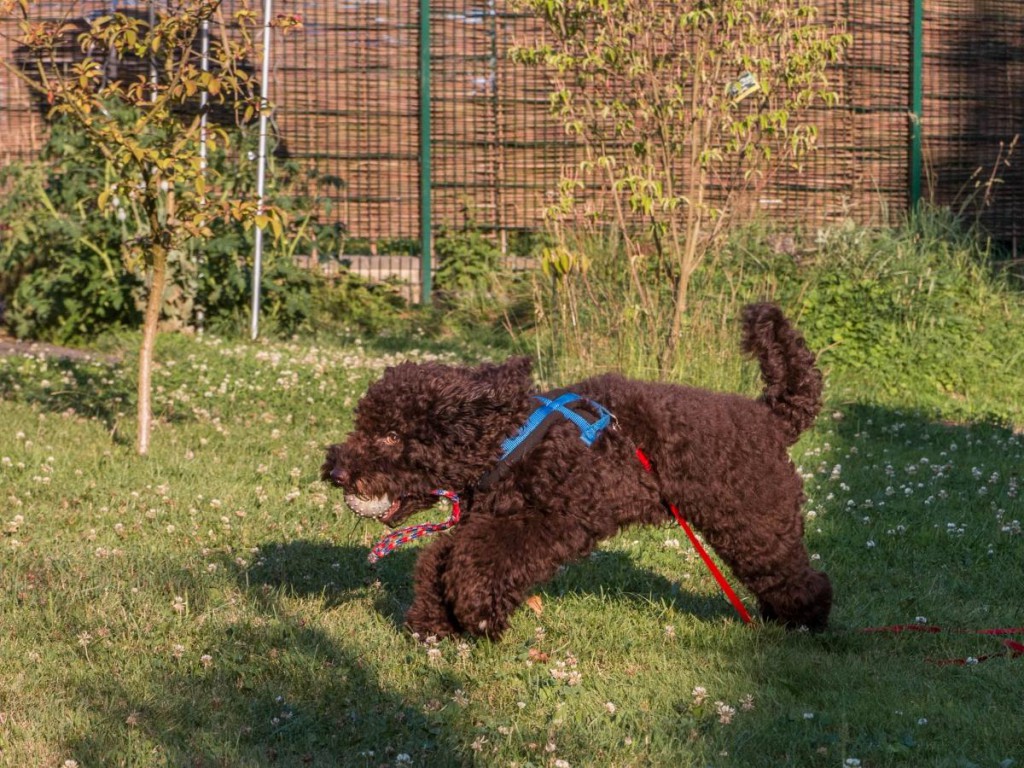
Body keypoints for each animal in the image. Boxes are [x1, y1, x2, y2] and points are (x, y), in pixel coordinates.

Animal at [321, 303, 831, 638]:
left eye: (391, 436)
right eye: (363, 425)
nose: (336, 471)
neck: (509, 439)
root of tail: (772, 417)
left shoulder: (551, 520)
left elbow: (479, 560)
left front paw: (475, 610)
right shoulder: (488, 519)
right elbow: (442, 557)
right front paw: (435, 619)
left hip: (754, 521)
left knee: (796, 576)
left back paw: (807, 621)